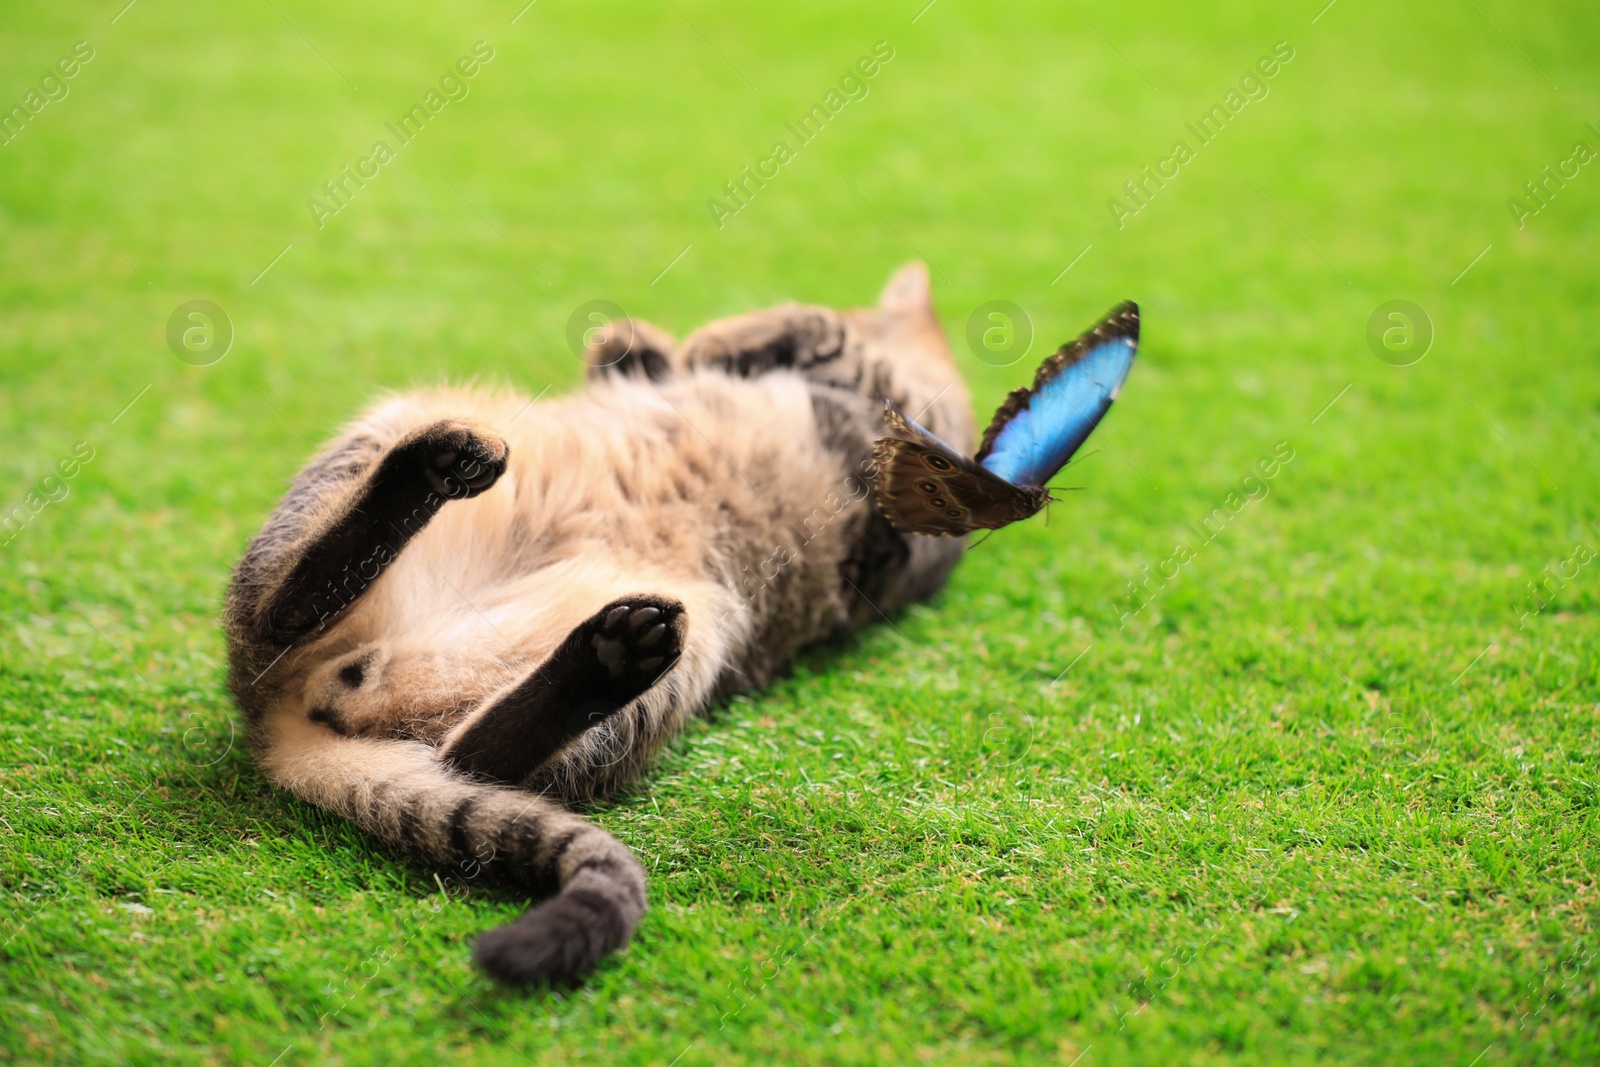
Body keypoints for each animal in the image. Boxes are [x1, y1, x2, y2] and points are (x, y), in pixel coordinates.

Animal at [222, 265, 972, 985]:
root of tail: (271, 720)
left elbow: (817, 329)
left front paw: (715, 342)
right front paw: (644, 346)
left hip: (698, 636)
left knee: (467, 753)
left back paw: (606, 657)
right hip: (393, 433)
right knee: (288, 612)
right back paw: (440, 472)